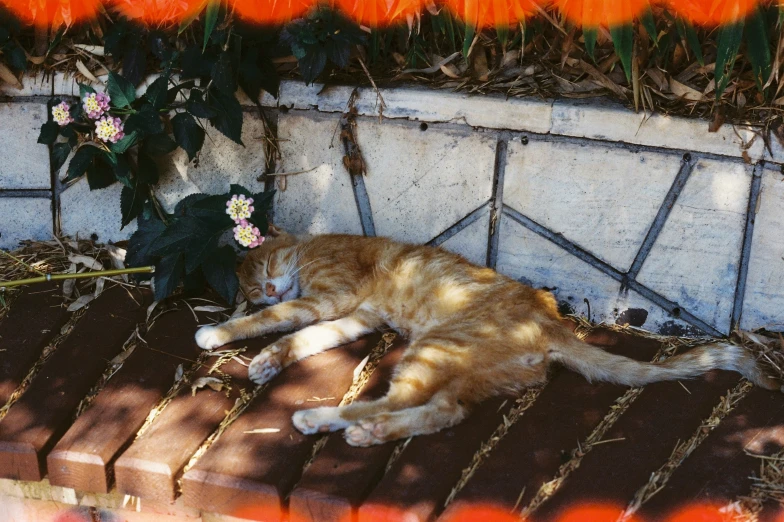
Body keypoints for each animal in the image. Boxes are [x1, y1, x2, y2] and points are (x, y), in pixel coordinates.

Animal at [194, 230, 776, 444]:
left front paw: (217, 330)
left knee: (399, 401)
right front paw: (266, 362)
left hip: (430, 350)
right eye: (253, 285)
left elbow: (277, 322)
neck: (313, 246)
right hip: (460, 367)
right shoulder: (353, 317)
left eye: (261, 270)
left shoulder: (332, 298)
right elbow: (297, 337)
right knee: (443, 411)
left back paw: (322, 420)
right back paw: (369, 432)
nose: (266, 288)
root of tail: (551, 323)